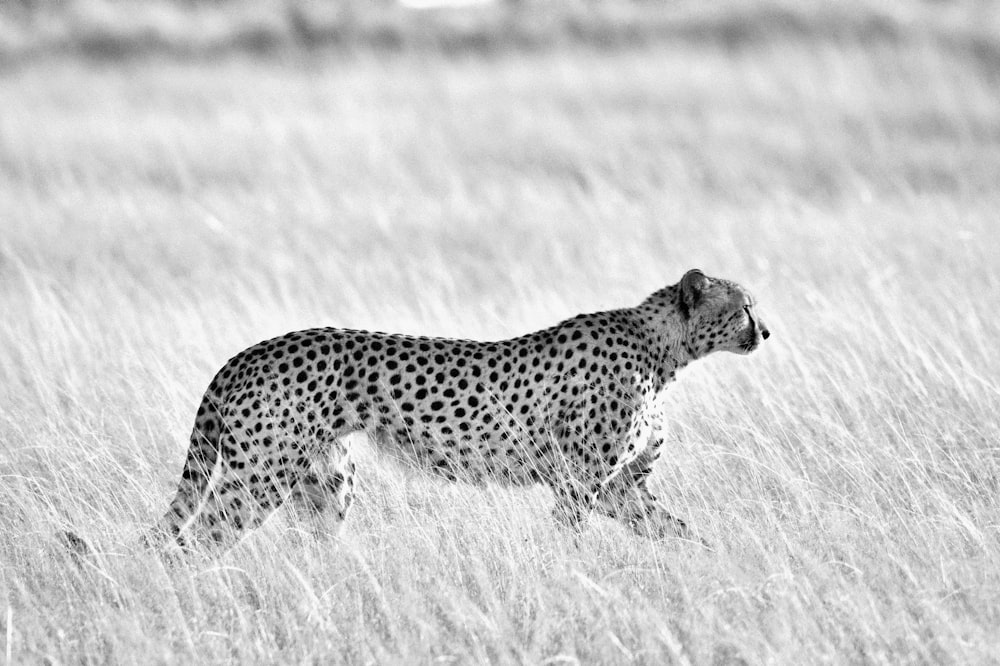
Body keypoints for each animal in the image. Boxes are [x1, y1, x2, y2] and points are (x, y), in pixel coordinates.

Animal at [152, 268, 768, 548]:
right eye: (744, 306)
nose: (766, 331)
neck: (664, 350)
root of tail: (251, 350)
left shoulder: (621, 487)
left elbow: (678, 530)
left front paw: (716, 565)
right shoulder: (580, 480)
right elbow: (569, 539)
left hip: (326, 482)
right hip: (261, 476)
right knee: (193, 541)